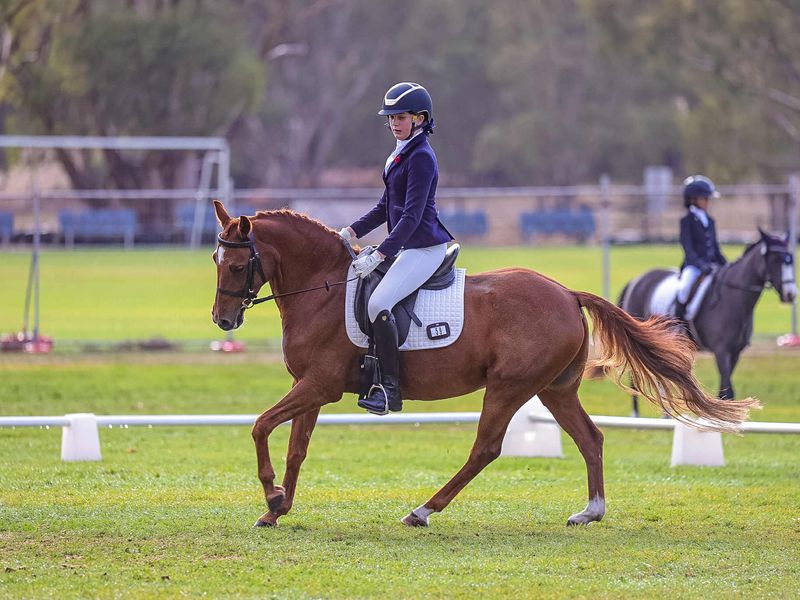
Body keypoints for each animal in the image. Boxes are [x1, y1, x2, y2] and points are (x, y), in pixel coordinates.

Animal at [210, 200, 759, 529]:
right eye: (217, 262)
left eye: (236, 265)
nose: (222, 320)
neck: (322, 289)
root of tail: (567, 292)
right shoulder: (313, 387)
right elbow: (296, 448)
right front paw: (278, 508)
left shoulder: (319, 385)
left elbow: (260, 426)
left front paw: (270, 495)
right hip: (555, 389)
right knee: (590, 438)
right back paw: (590, 512)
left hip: (509, 387)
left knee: (486, 448)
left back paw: (423, 510)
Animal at [618, 229, 796, 409]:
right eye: (776, 260)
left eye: (790, 259)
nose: (791, 294)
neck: (733, 299)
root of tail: (636, 281)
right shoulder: (721, 351)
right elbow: (727, 391)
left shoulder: (735, 352)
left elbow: (725, 392)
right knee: (635, 380)